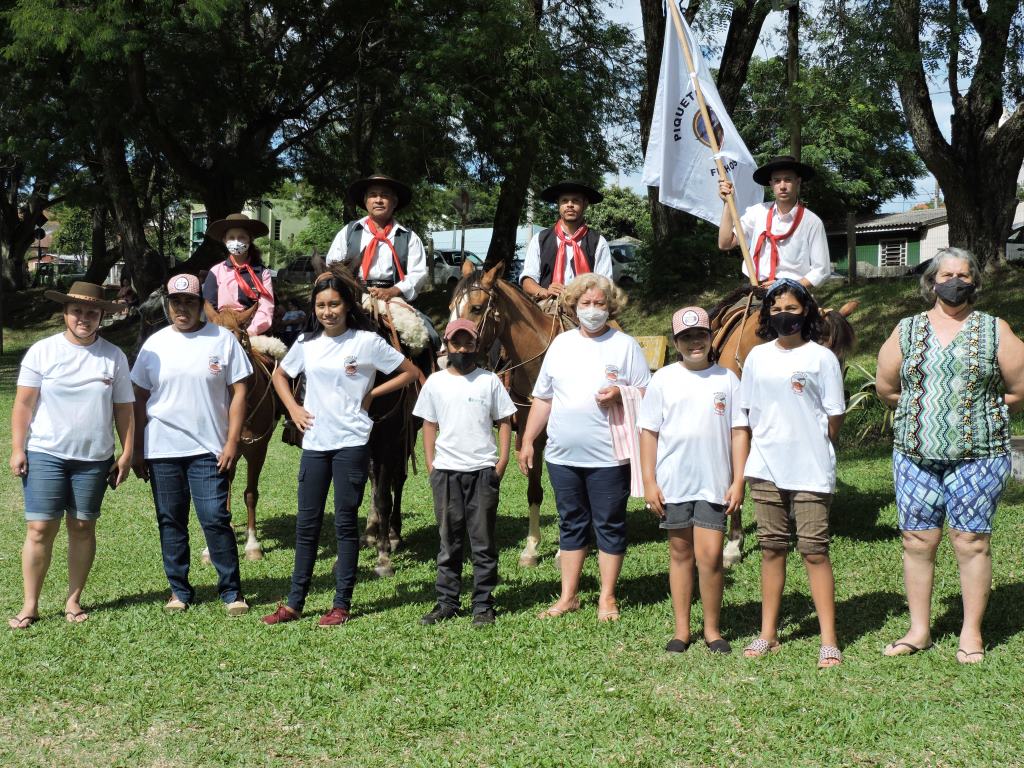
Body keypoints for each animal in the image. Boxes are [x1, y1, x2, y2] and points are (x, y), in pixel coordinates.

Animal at [450, 262, 565, 569]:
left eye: (477, 308)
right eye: (451, 306)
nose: (448, 352)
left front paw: (563, 553)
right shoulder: (529, 434)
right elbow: (535, 490)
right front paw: (531, 549)